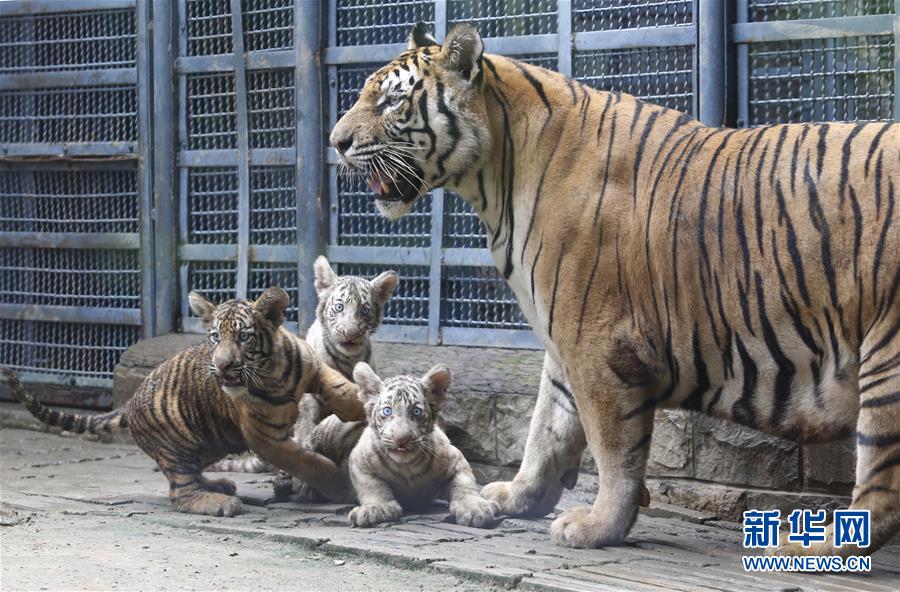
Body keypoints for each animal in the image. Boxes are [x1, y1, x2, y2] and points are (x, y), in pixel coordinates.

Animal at [4, 290, 362, 516]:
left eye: (243, 337)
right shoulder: (265, 438)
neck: (272, 373)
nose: (222, 366)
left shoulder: (314, 368)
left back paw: (220, 485)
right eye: (215, 337)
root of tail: (129, 403)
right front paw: (341, 487)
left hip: (209, 443)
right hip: (177, 445)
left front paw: (363, 405)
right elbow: (308, 462)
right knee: (180, 491)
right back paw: (218, 502)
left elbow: (341, 389)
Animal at [332, 22, 900, 556]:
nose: (336, 143)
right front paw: (518, 496)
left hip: (886, 358)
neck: (495, 175)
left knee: (881, 490)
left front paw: (598, 526)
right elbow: (546, 427)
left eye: (391, 100)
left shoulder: (596, 342)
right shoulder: (563, 338)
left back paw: (814, 544)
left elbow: (611, 448)